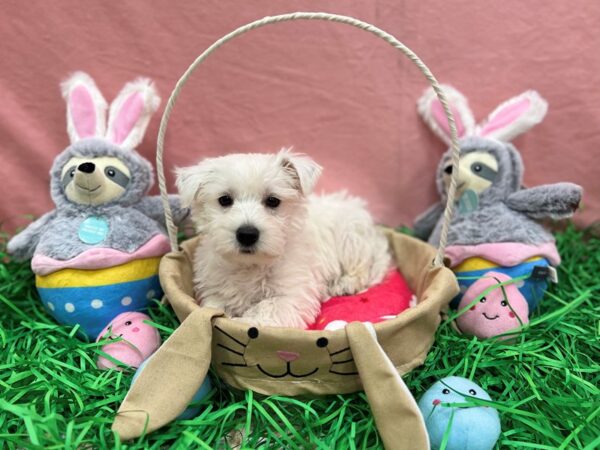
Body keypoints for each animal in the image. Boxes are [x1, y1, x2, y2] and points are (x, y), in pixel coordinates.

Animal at [177, 149, 394, 328]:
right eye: (224, 200)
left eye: (273, 201)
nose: (247, 234)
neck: (250, 265)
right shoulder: (215, 289)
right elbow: (214, 305)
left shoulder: (293, 294)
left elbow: (266, 309)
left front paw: (244, 321)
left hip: (351, 239)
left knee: (362, 268)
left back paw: (345, 284)